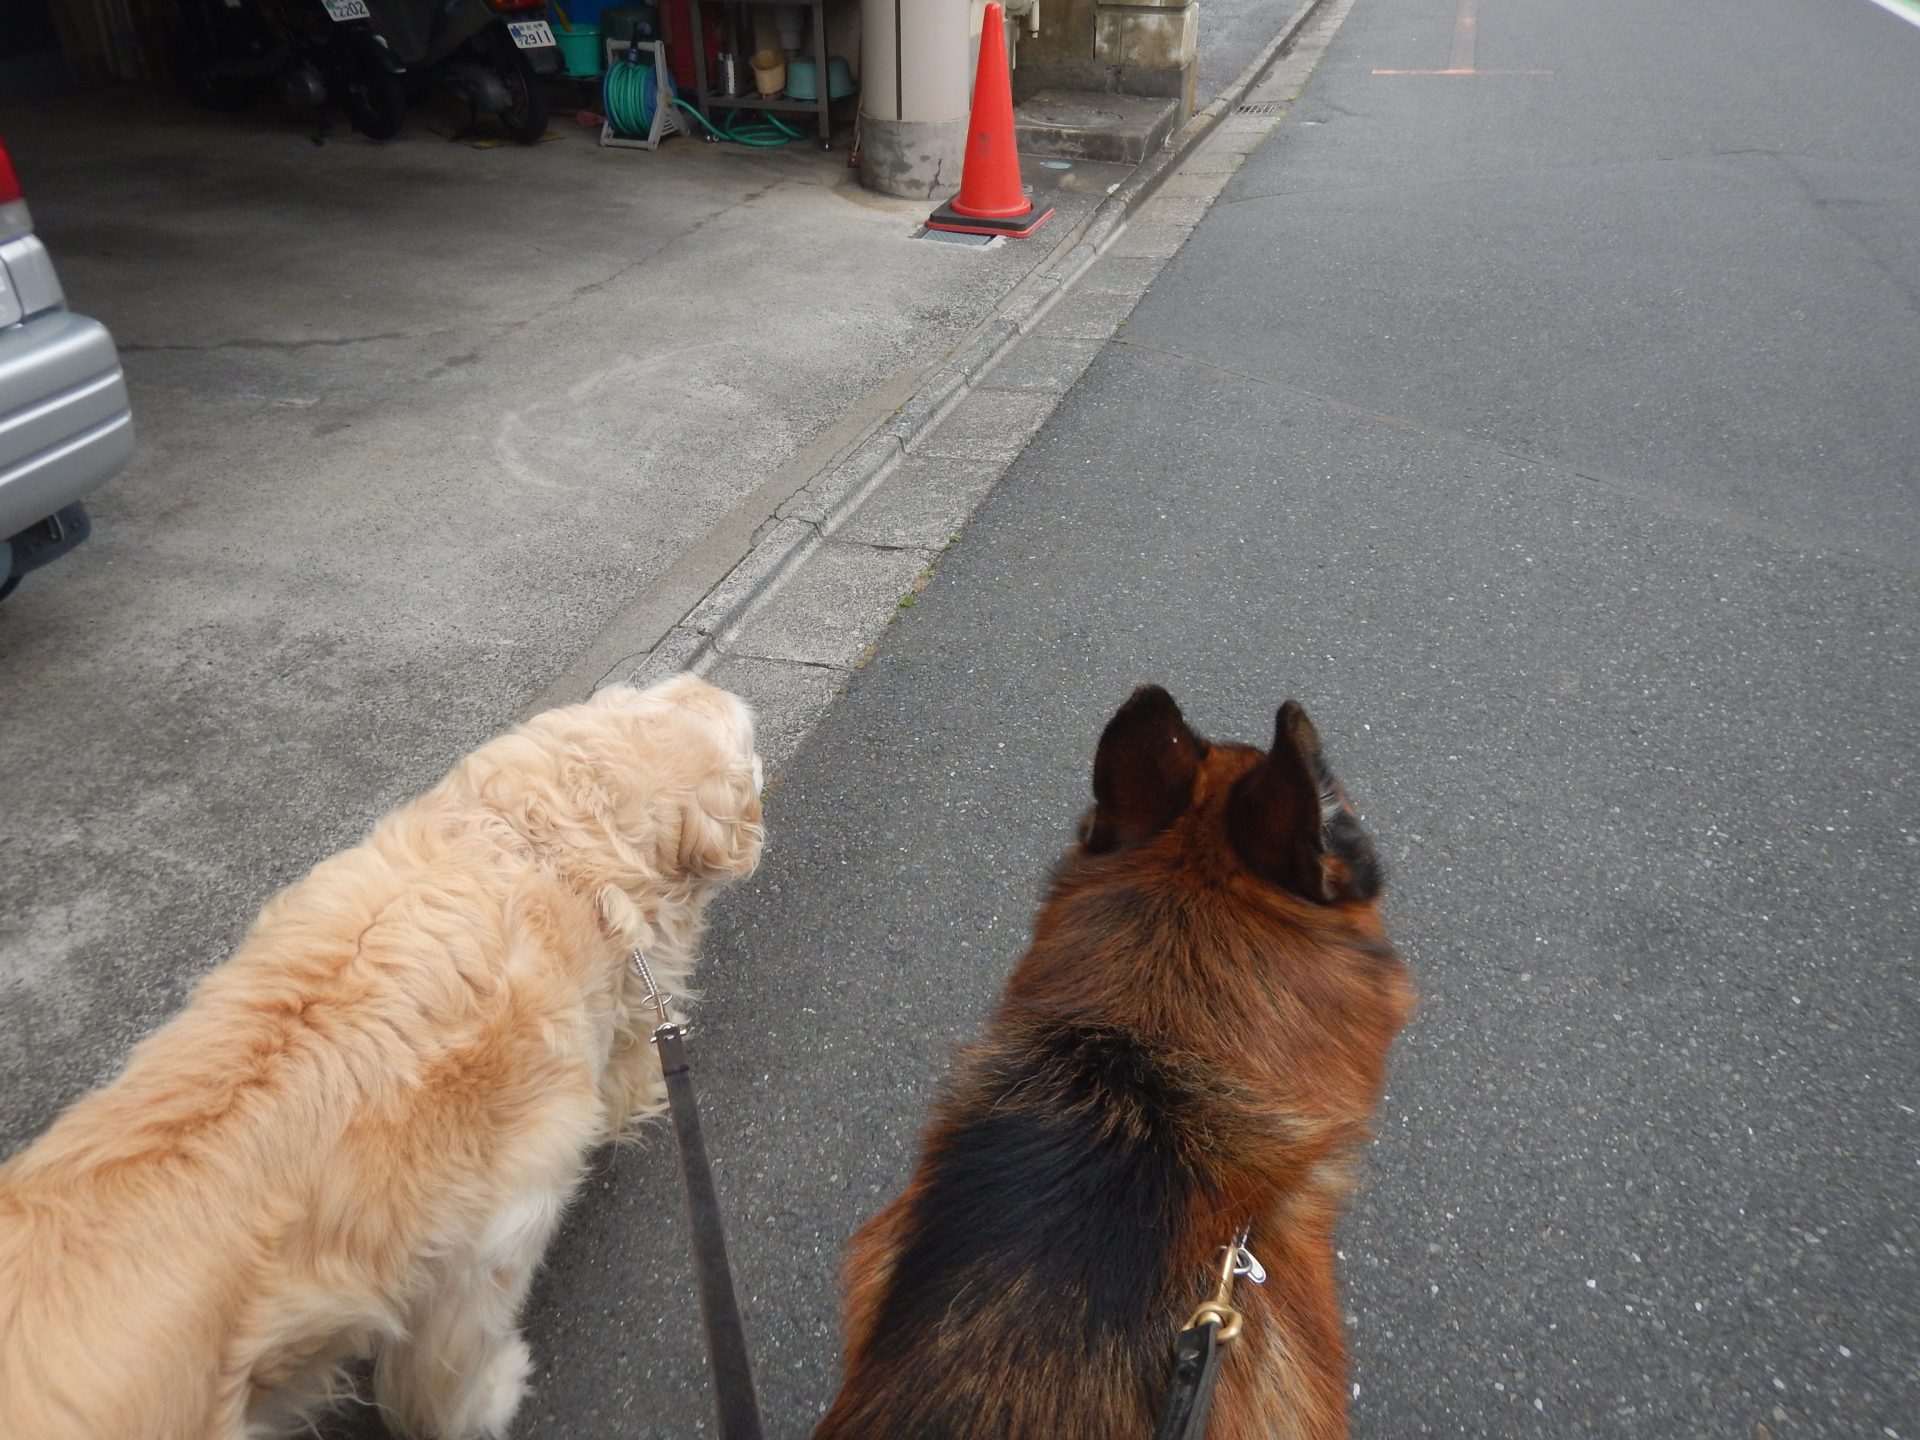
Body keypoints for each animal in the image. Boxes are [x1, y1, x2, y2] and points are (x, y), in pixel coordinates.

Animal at [0, 675, 764, 1440]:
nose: (709, 682)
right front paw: (489, 1396)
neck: (543, 841)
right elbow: (450, 1361)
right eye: (751, 750)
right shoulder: (501, 1219)